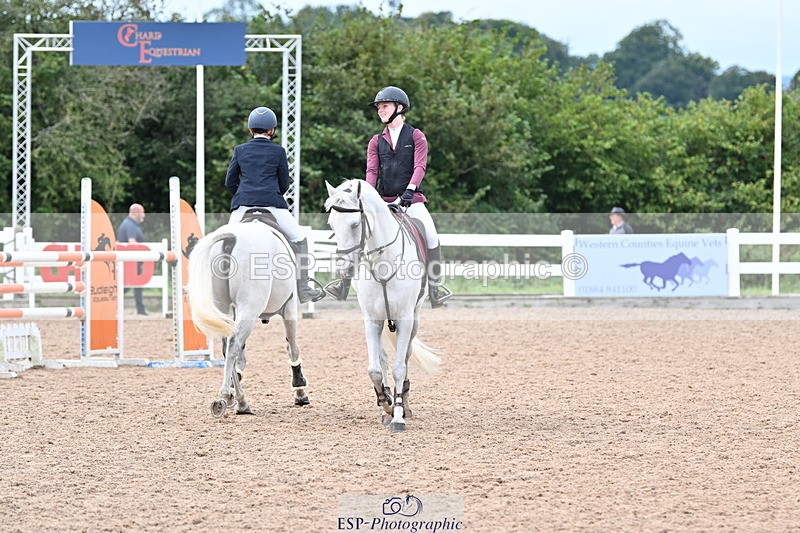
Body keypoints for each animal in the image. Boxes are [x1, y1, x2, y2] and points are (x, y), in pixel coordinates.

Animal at [185, 220, 310, 418]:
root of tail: (232, 237)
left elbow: (241, 359)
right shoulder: (289, 308)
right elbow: (293, 347)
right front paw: (299, 389)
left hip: (222, 308)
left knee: (228, 348)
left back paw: (239, 400)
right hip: (250, 307)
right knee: (234, 344)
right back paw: (227, 396)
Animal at [325, 179, 442, 433]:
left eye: (355, 224)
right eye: (331, 224)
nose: (343, 269)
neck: (383, 264)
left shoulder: (405, 319)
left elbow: (399, 367)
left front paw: (398, 415)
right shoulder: (372, 320)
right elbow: (375, 369)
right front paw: (386, 404)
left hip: (414, 319)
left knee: (405, 356)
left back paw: (404, 404)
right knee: (384, 357)